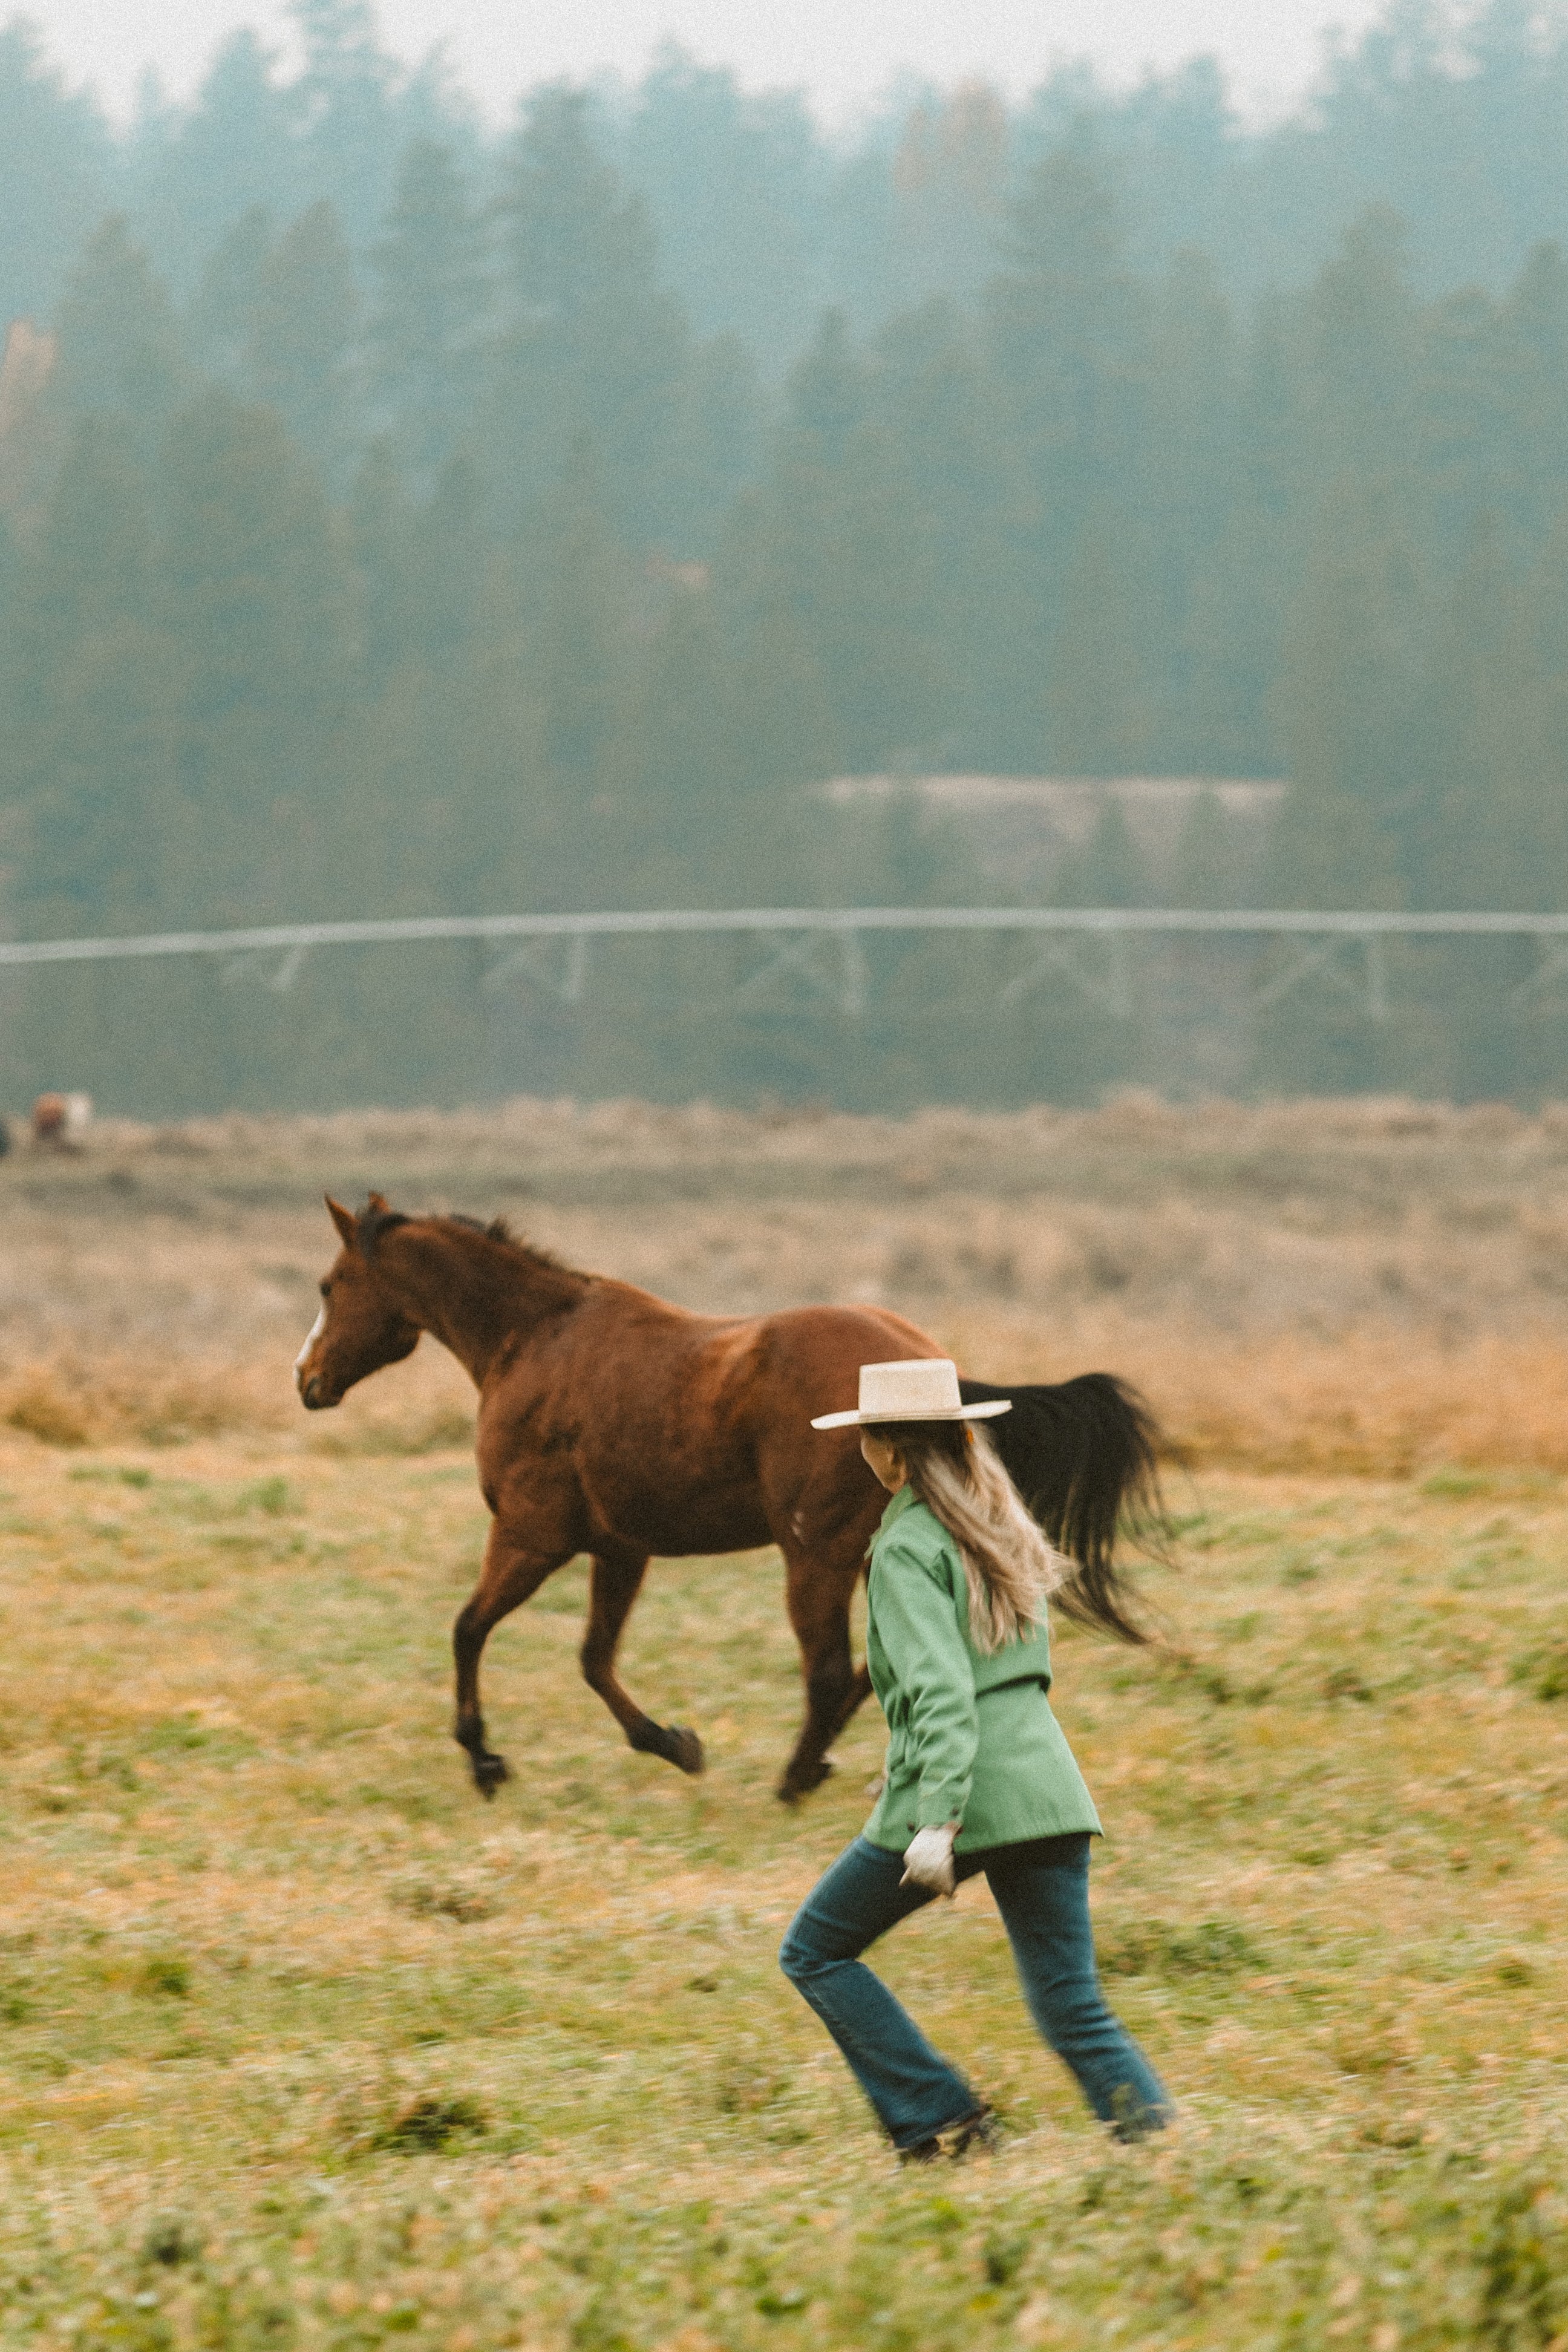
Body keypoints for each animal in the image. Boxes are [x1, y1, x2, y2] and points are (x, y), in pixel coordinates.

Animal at [295, 1193, 1166, 1803]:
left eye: (331, 1285)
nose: (307, 1381)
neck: (536, 1341)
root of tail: (927, 1375)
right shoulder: (620, 1551)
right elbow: (593, 1660)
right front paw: (675, 1743)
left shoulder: (530, 1538)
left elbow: (468, 1631)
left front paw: (484, 1759)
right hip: (869, 1553)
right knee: (880, 1665)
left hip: (814, 1558)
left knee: (832, 1672)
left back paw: (795, 1780)